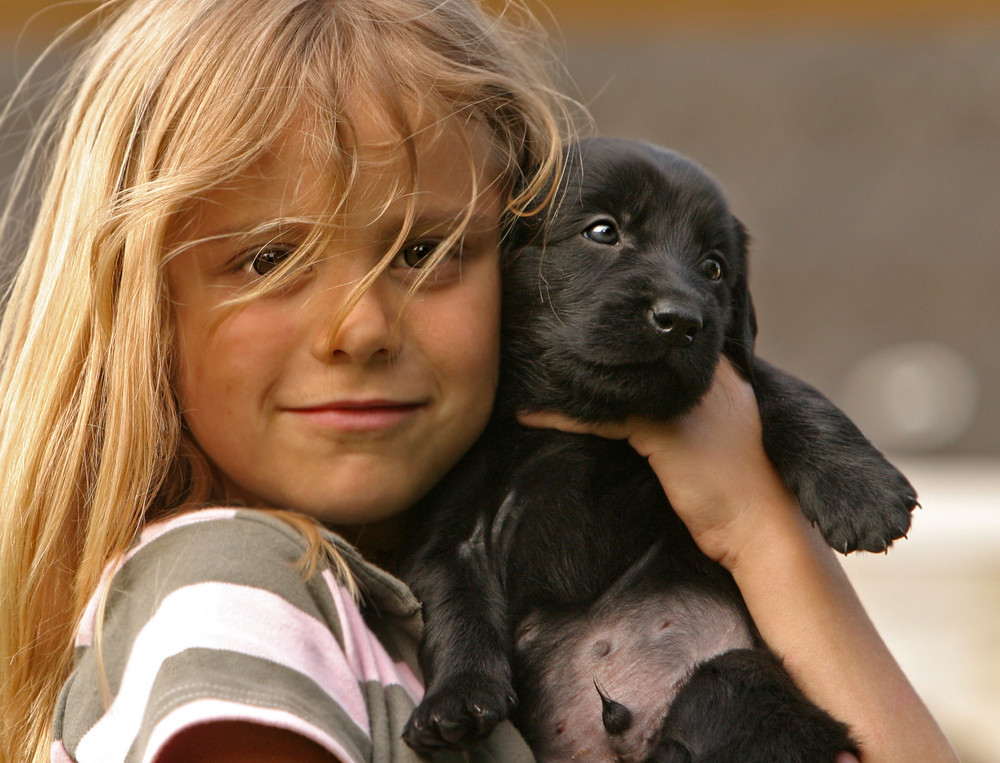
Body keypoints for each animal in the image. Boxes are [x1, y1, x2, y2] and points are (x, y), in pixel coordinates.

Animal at [398, 139, 916, 763]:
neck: (586, 418)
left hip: (738, 675)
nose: (682, 321)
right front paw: (456, 701)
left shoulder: (729, 366)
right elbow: (457, 606)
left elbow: (782, 388)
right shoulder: (453, 529)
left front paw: (862, 491)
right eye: (603, 231)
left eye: (714, 267)